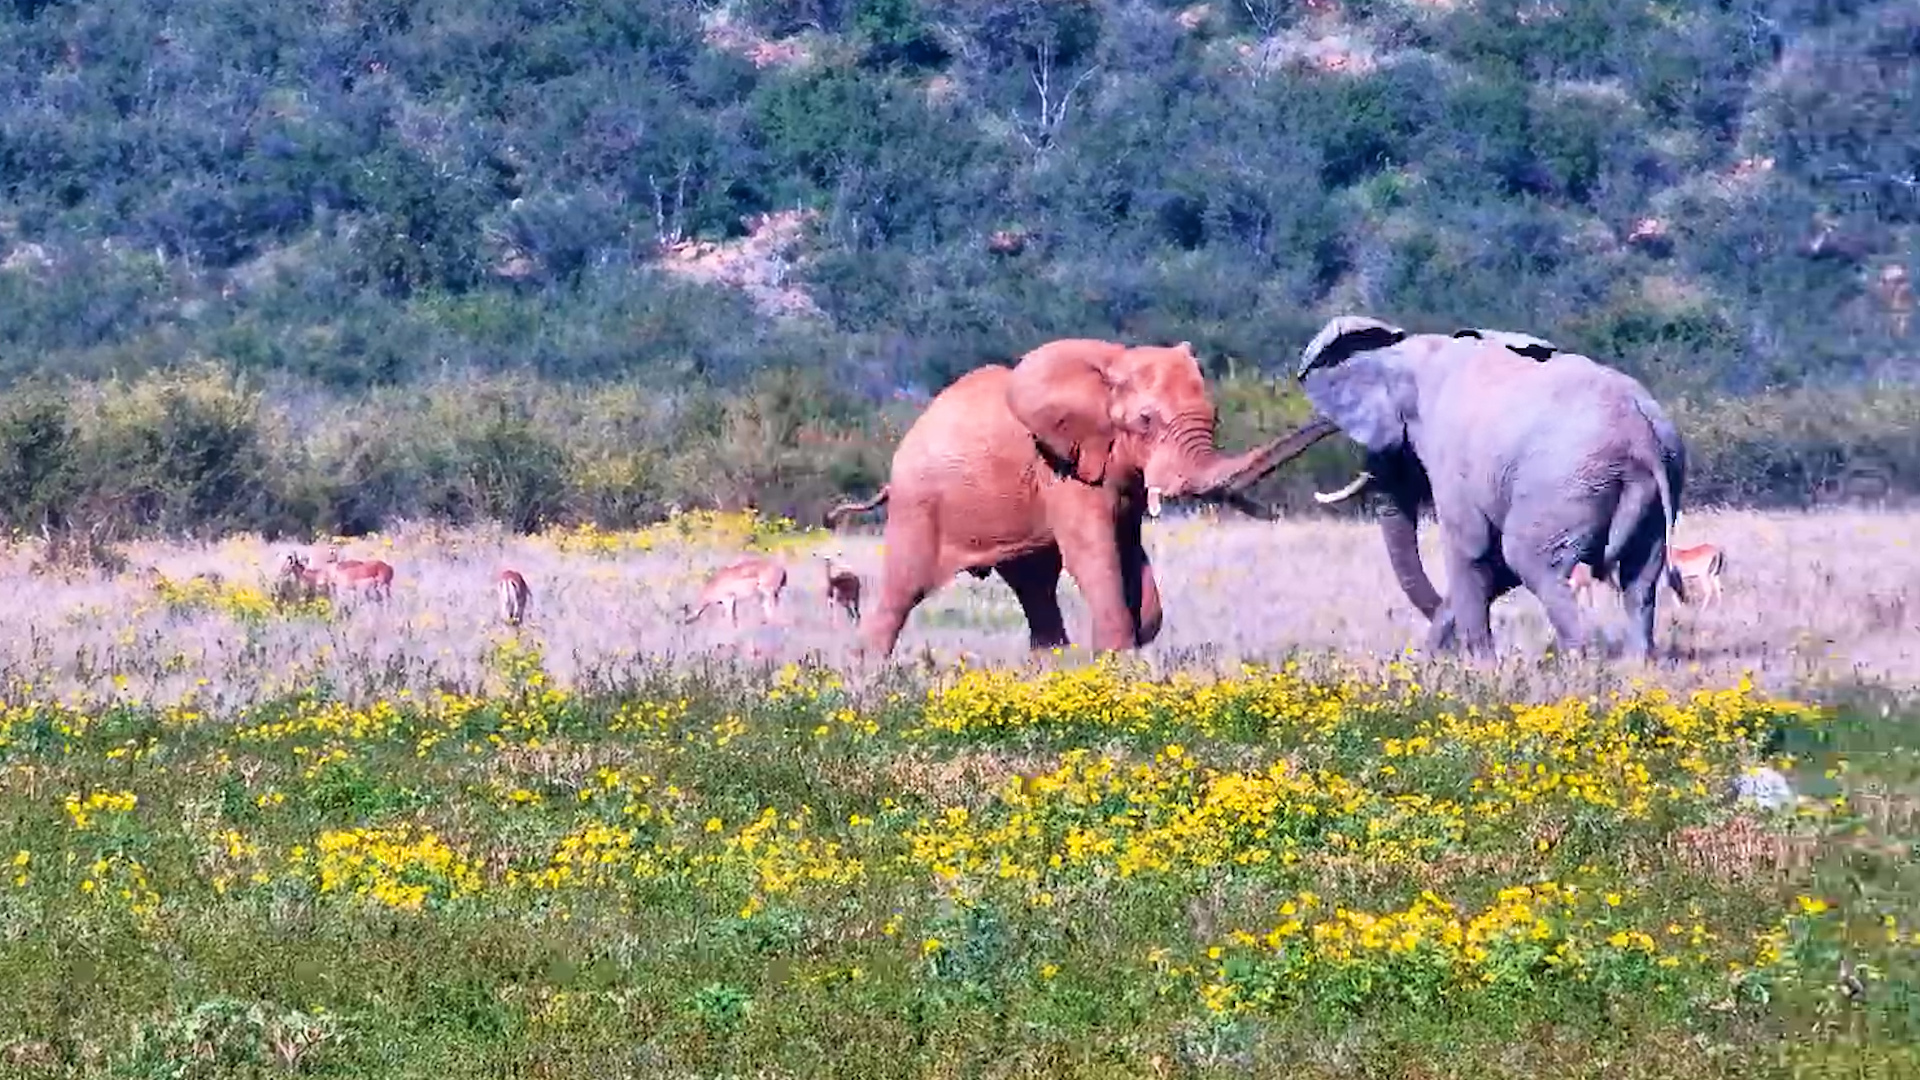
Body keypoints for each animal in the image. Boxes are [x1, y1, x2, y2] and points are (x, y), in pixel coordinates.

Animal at [825, 338, 1337, 658]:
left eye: (1214, 416)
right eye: (1146, 421)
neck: (1111, 363)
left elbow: (1128, 553)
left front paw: (1134, 636)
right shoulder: (1060, 465)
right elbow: (1094, 554)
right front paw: (1115, 656)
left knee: (1035, 590)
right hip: (918, 506)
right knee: (902, 591)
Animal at [1277, 315, 1687, 660]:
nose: (1426, 655)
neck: (1409, 354)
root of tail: (1641, 433)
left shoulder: (1448, 450)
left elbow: (1471, 545)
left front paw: (1482, 668)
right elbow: (1491, 559)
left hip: (1565, 483)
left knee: (1533, 563)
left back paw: (1579, 663)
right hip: (1656, 479)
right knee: (1640, 579)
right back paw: (1635, 667)